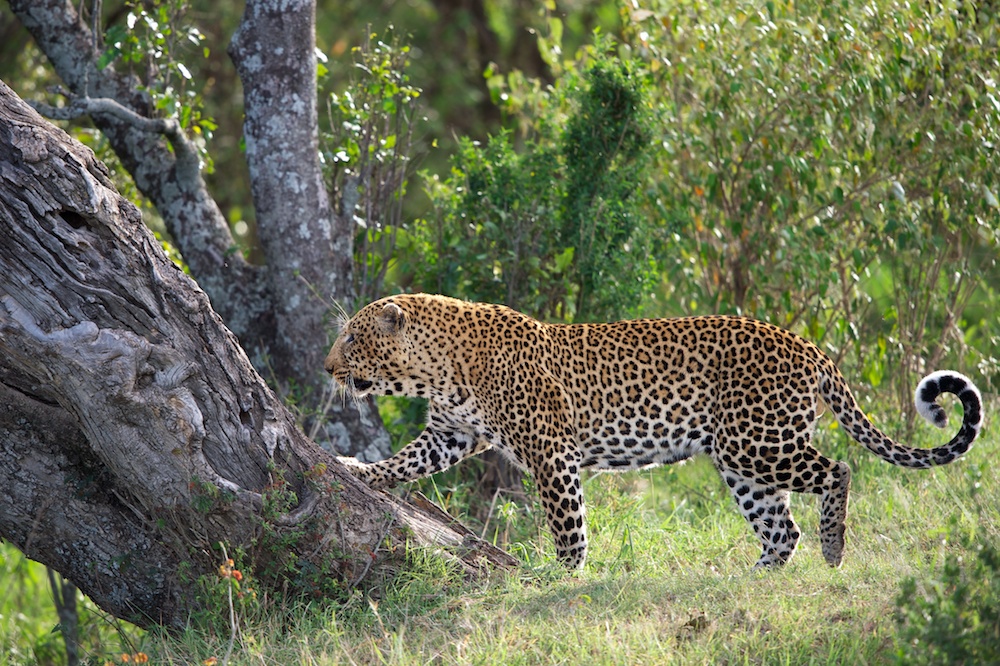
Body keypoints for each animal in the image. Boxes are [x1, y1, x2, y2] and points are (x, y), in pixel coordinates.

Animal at [326, 294, 984, 568]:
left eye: (353, 337)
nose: (328, 368)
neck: (436, 370)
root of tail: (806, 345)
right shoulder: (451, 434)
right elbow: (404, 461)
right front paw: (358, 469)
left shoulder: (550, 452)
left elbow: (567, 523)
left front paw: (560, 577)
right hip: (740, 460)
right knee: (781, 529)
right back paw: (748, 581)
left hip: (758, 443)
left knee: (838, 472)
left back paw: (834, 548)